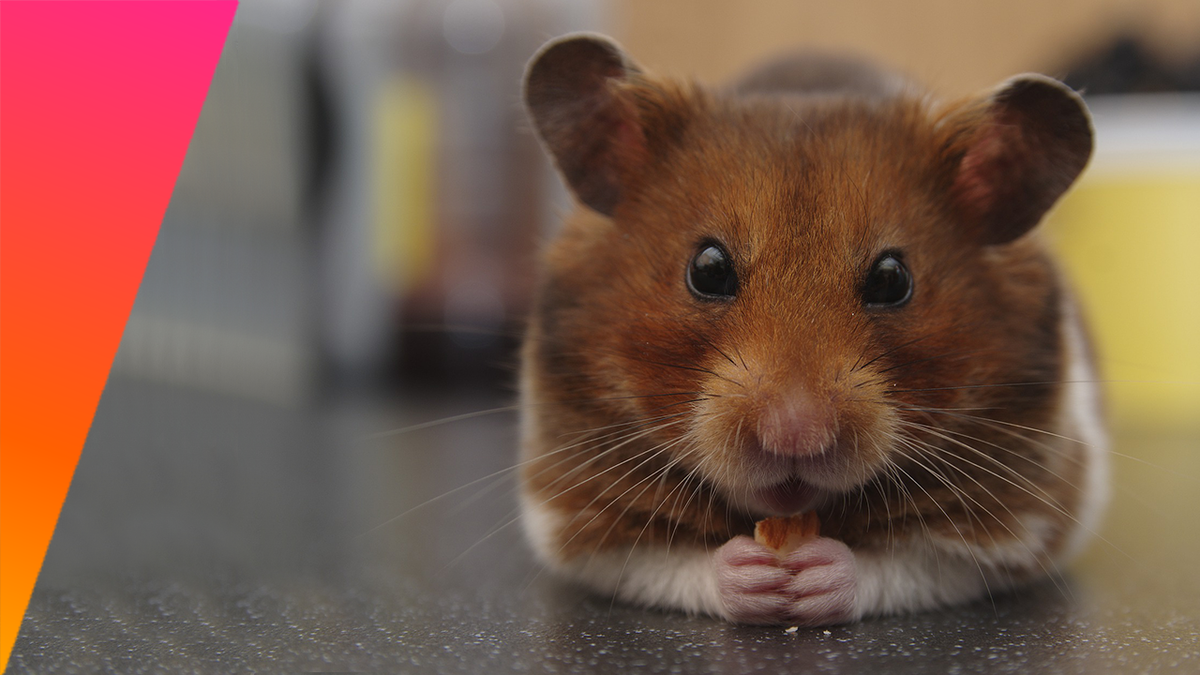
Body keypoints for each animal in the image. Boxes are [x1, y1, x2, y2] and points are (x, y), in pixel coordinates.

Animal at [517, 34, 1109, 626]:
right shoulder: (572, 513)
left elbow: (904, 564)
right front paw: (756, 576)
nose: (795, 435)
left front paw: (811, 576)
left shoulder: (1023, 520)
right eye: (707, 269)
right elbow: (667, 562)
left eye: (893, 279)